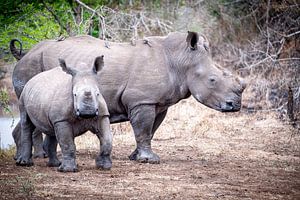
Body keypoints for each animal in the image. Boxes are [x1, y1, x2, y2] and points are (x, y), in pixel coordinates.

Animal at [11, 30, 246, 163]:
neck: (181, 60)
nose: (235, 105)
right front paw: (149, 161)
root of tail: (24, 54)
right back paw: (36, 158)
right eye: (212, 80)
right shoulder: (142, 100)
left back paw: (29, 156)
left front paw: (136, 157)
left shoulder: (158, 103)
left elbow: (150, 131)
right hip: (31, 67)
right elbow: (143, 129)